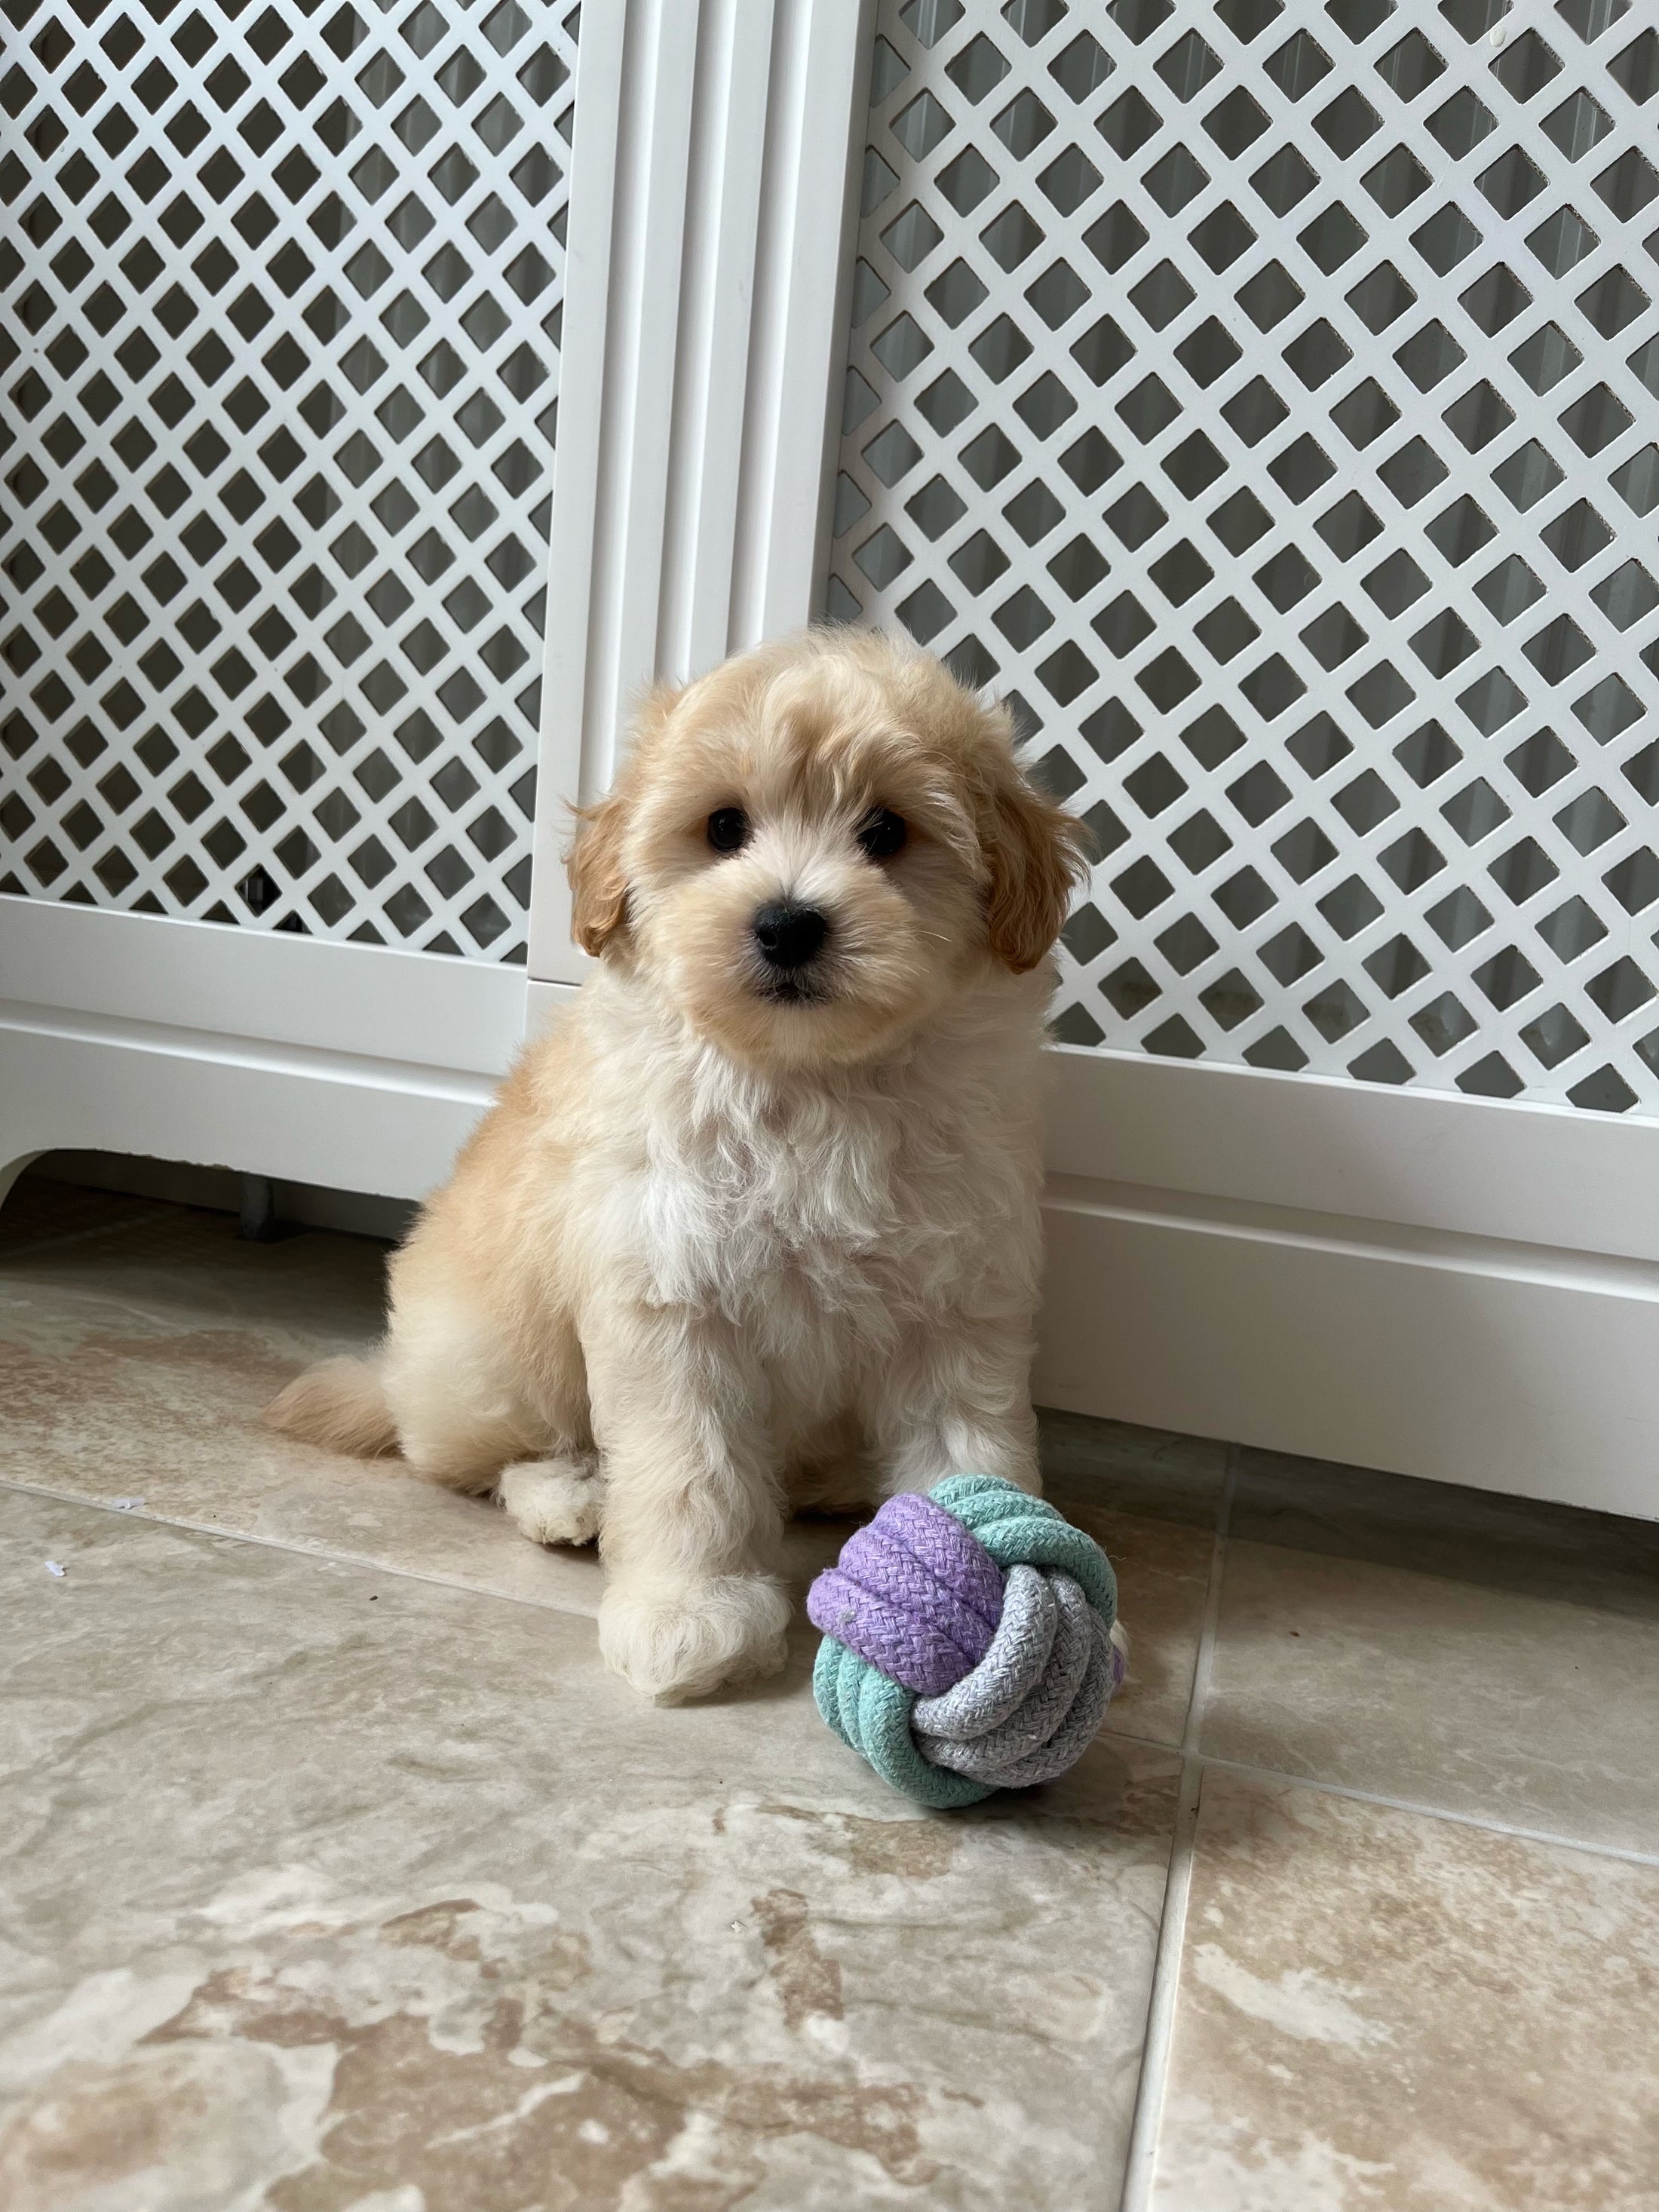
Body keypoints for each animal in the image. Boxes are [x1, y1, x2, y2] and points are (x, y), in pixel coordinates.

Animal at [271, 632, 1096, 1698]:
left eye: (886, 830)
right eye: (723, 827)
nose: (788, 923)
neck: (809, 1080)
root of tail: (394, 1376)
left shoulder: (958, 1302)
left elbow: (968, 1441)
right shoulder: (670, 1297)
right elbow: (684, 1468)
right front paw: (686, 1613)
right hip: (494, 1353)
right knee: (481, 1456)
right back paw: (568, 1495)